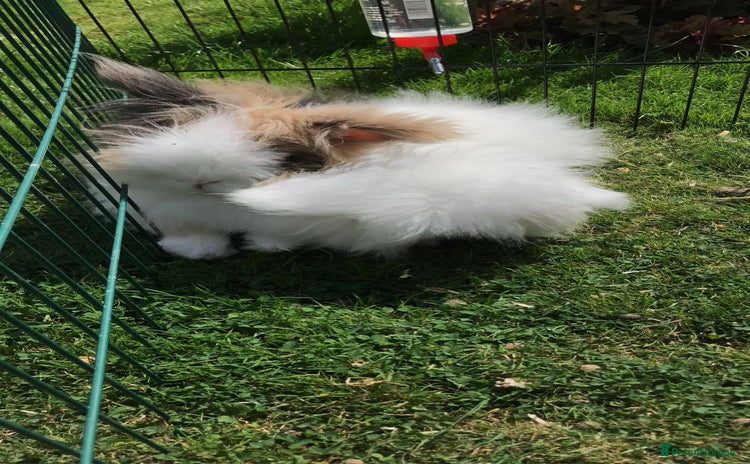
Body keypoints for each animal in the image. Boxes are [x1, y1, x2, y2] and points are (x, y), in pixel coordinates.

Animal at [83, 55, 629, 259]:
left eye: (281, 154)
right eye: (177, 131)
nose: (200, 180)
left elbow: (277, 233)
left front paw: (264, 245)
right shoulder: (173, 212)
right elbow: (193, 236)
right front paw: (195, 252)